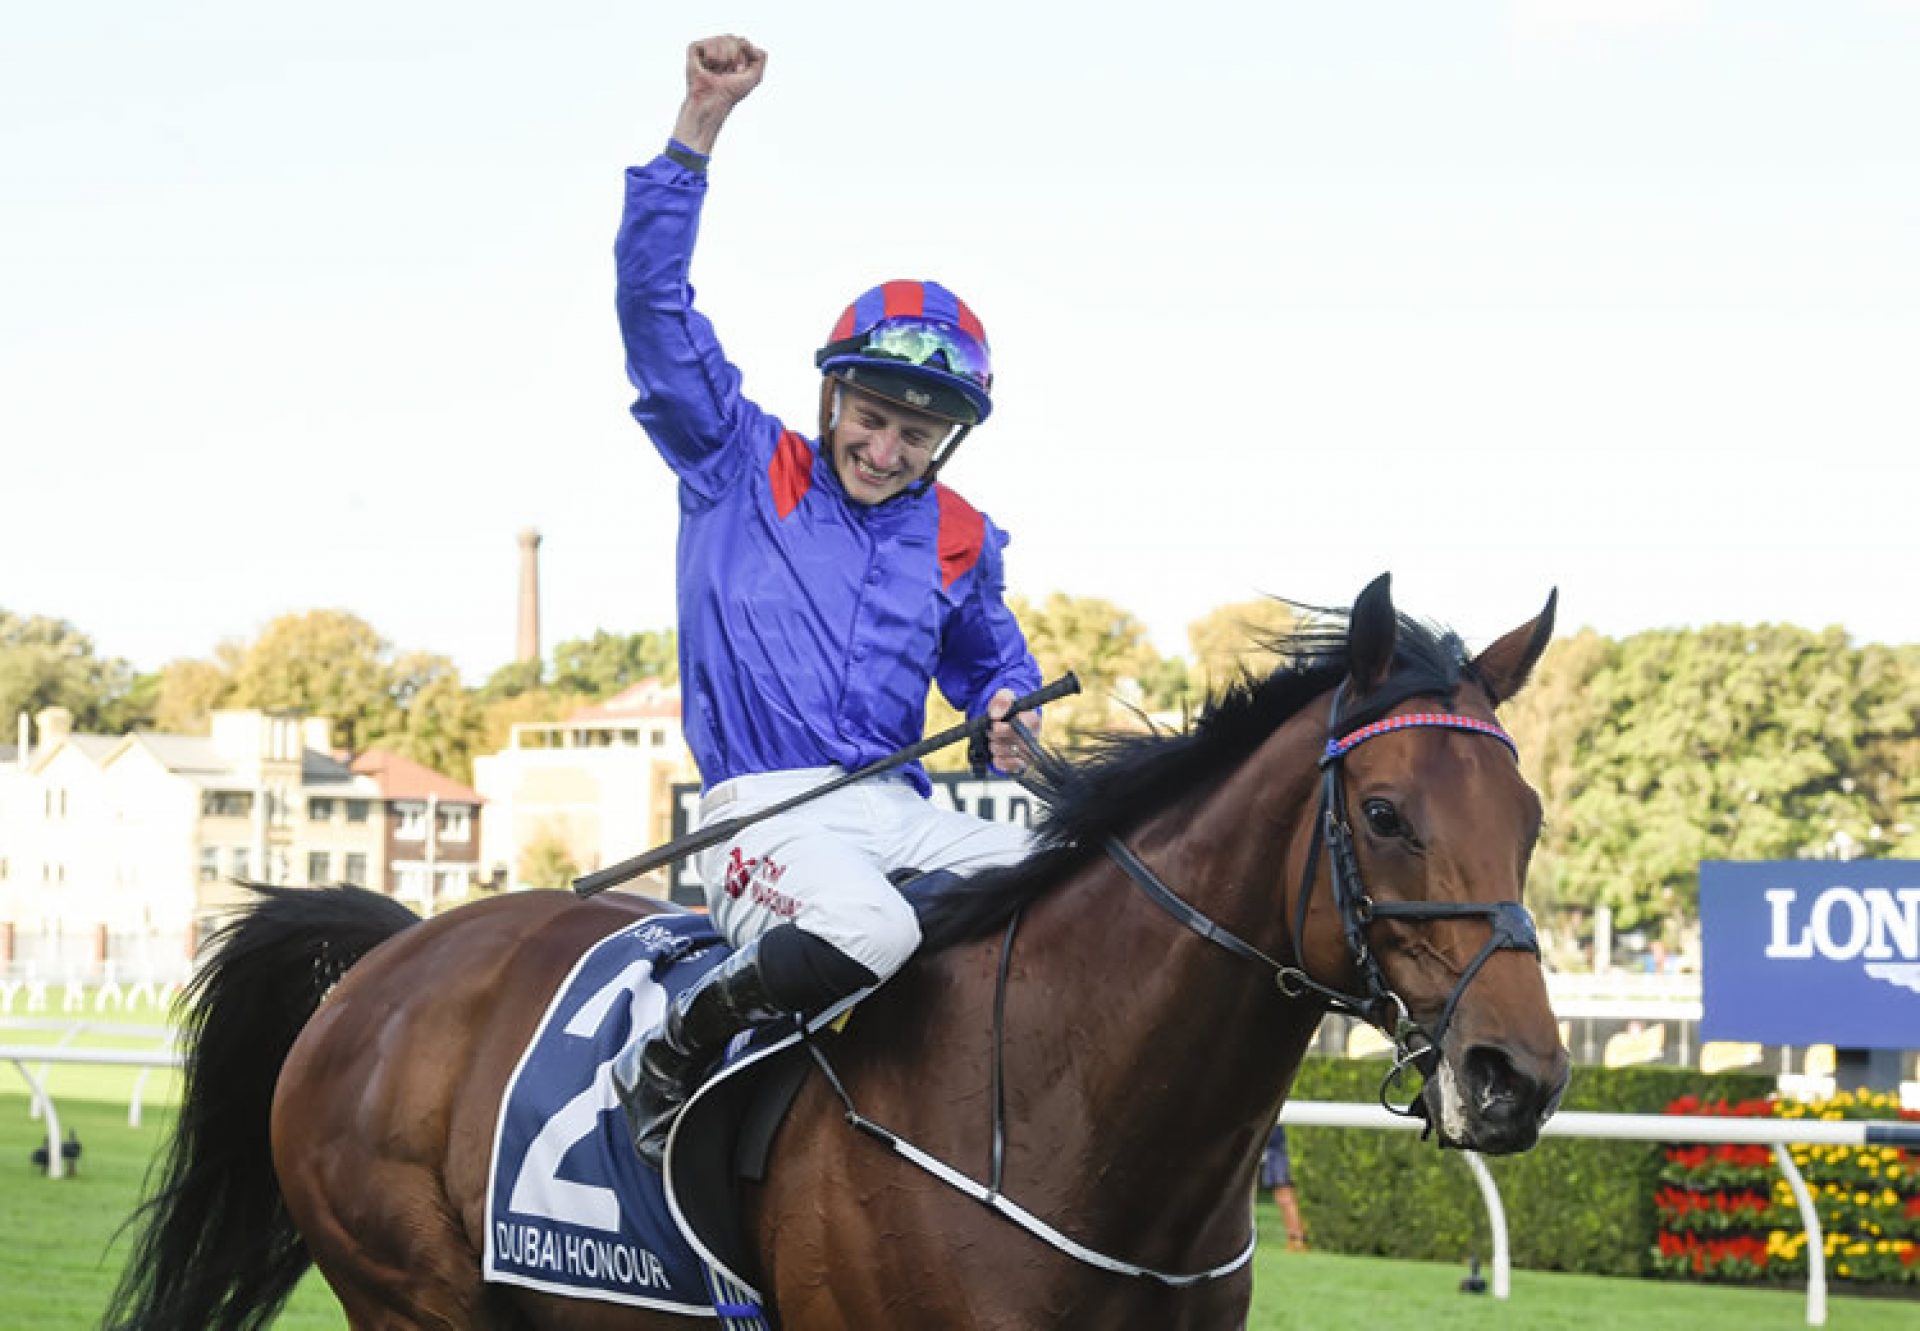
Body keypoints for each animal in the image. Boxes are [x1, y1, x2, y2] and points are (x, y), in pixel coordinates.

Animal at [112, 576, 1566, 1329]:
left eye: (1533, 815)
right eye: (1386, 813)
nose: (1522, 1074)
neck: (1071, 1110)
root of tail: (398, 948)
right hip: (413, 1295)